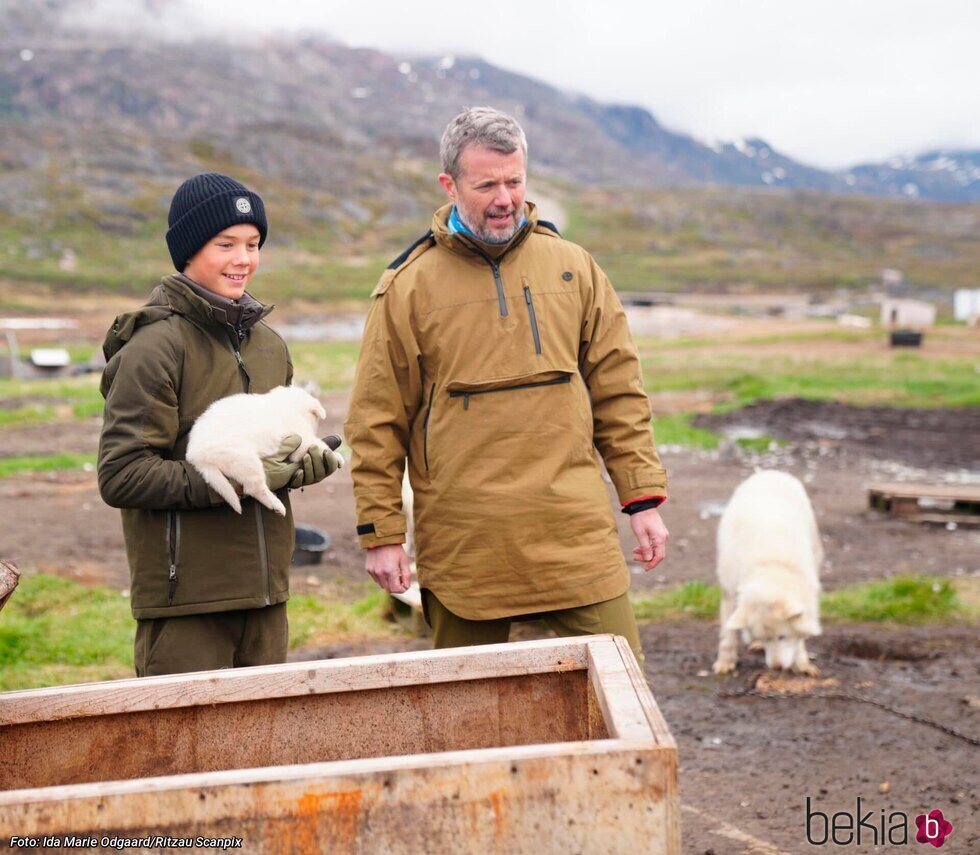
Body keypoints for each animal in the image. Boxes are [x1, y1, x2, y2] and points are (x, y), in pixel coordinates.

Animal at [186, 386, 334, 520]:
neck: (290, 406)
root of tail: (195, 455)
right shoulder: (301, 439)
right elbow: (316, 445)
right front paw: (335, 457)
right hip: (245, 459)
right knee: (254, 488)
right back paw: (276, 504)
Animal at [708, 468, 824, 676]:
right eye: (764, 638)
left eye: (782, 637)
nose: (776, 667)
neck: (769, 567)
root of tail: (769, 472)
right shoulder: (729, 592)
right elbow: (728, 633)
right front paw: (725, 661)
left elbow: (800, 635)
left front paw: (801, 663)